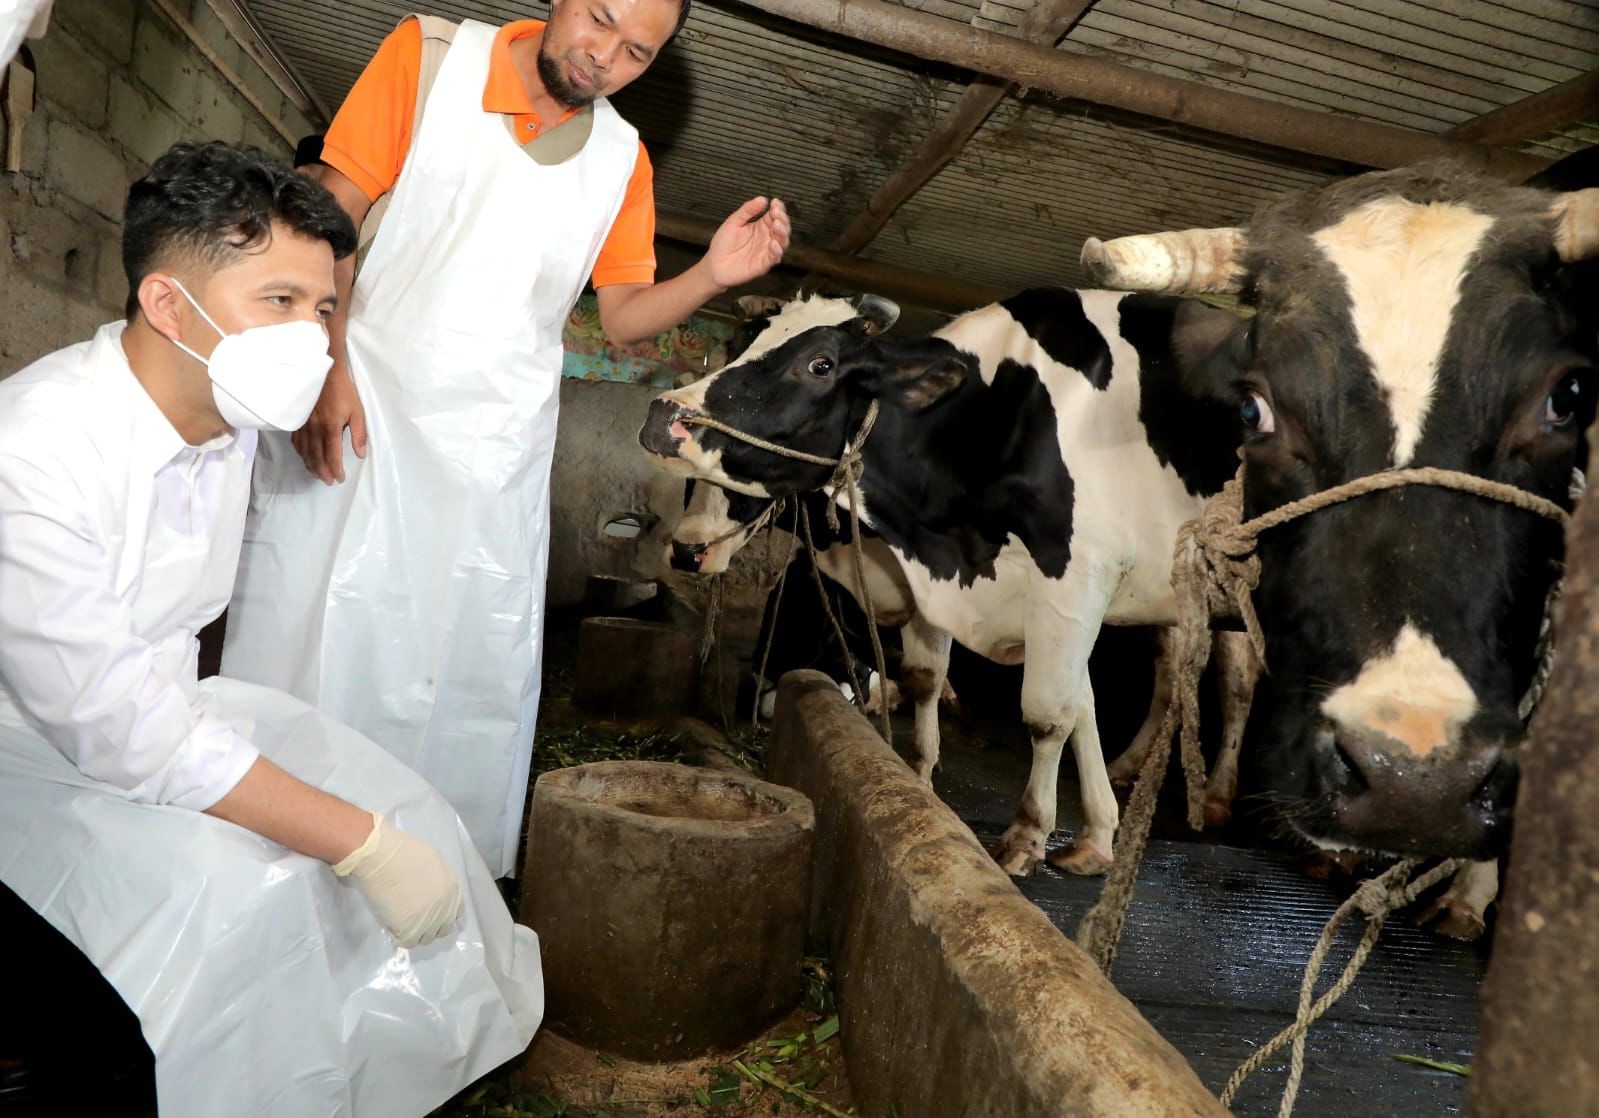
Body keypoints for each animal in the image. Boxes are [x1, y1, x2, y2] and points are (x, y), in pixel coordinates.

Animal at [642, 286, 1240, 876]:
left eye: (820, 364)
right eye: (740, 346)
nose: (687, 550)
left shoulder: (1076, 577)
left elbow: (1050, 713)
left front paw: (1029, 833)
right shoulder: (942, 588)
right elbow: (950, 680)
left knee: (1229, 682)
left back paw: (1210, 796)